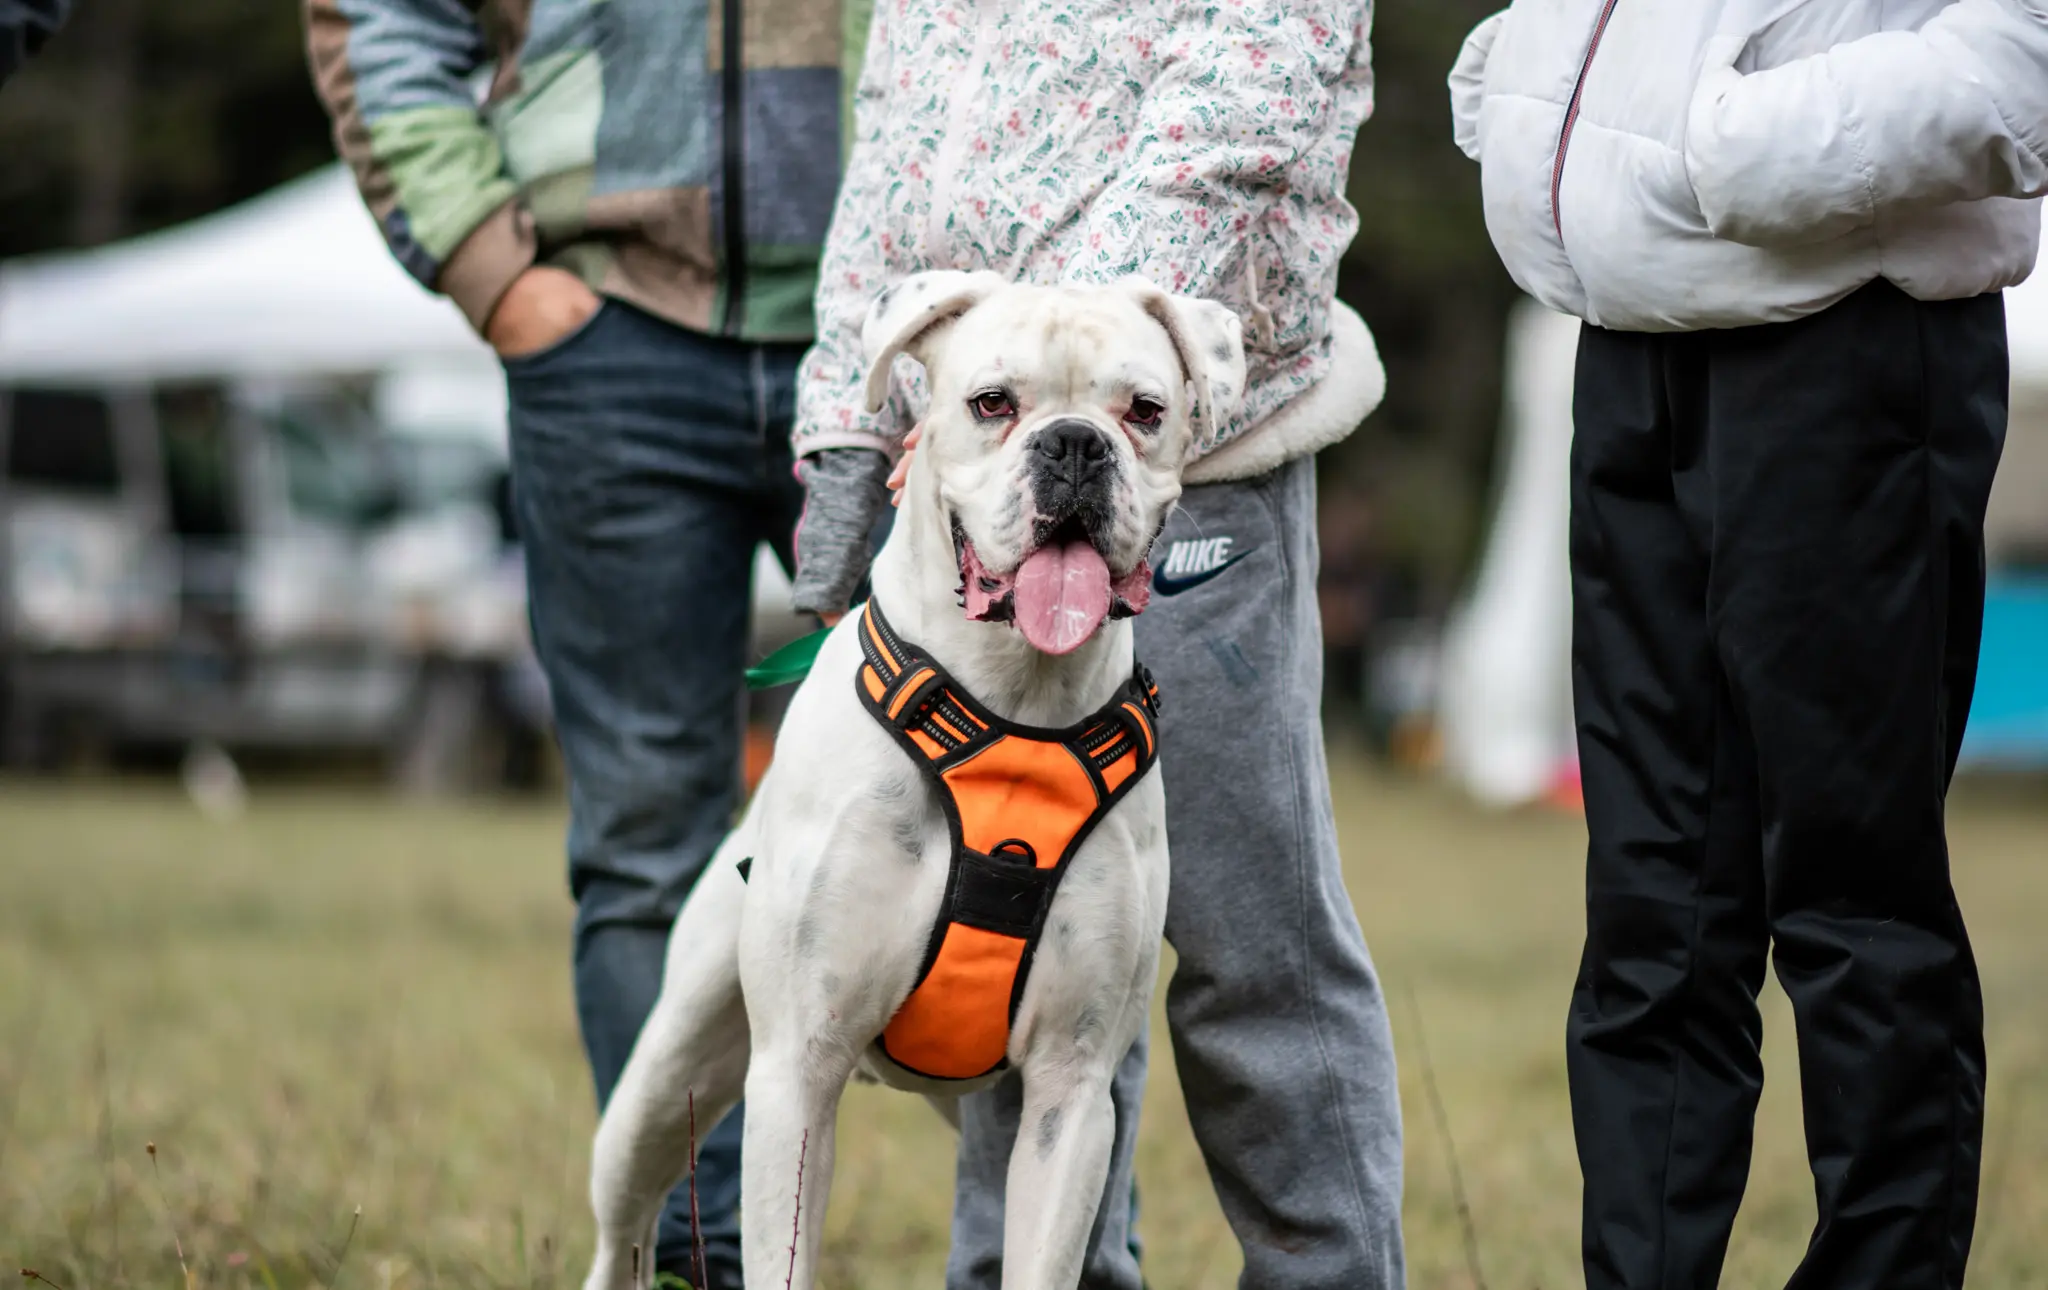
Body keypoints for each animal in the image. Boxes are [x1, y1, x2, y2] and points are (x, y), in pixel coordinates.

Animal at [581, 272, 1245, 1290]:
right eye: (992, 403)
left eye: (1144, 411)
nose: (1075, 444)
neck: (1014, 706)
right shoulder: (796, 1070)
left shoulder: (1071, 1094)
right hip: (663, 1082)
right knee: (626, 1223)